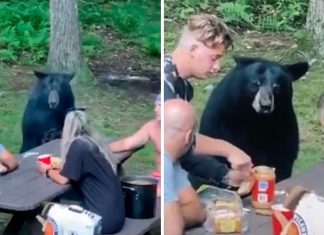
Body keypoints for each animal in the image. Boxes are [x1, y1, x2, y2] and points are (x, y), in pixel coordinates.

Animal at [182, 55, 308, 187]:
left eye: (276, 87)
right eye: (255, 84)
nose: (265, 106)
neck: (256, 119)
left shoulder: (283, 122)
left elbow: (282, 157)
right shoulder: (223, 118)